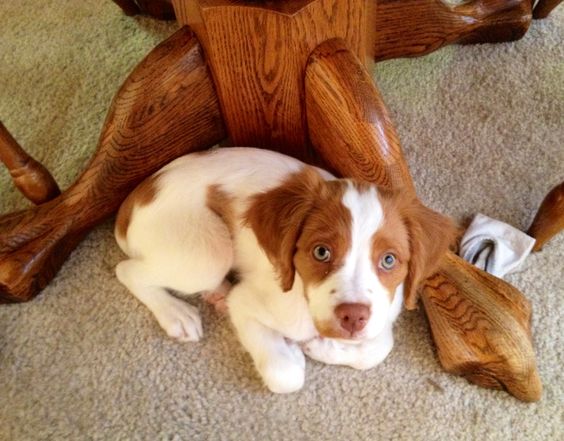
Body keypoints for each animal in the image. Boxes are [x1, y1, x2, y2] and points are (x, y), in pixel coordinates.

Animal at [113, 147, 454, 392]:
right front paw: (293, 352)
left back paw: (216, 295)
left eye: (389, 260)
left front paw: (321, 347)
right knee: (125, 269)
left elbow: (378, 348)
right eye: (321, 252)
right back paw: (176, 313)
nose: (353, 317)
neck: (303, 300)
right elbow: (285, 376)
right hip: (208, 252)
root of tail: (133, 201)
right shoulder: (247, 303)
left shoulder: (386, 312)